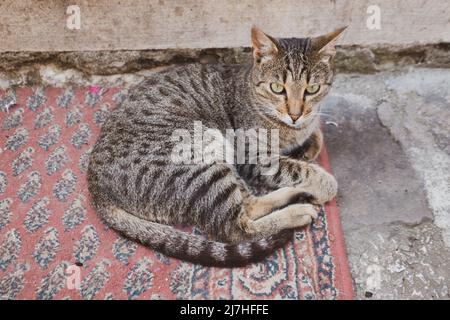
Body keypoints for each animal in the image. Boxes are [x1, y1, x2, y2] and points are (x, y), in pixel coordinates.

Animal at [87, 26, 344, 268]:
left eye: (312, 89)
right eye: (277, 88)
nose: (295, 114)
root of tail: (95, 186)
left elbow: (316, 134)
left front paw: (308, 146)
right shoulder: (253, 158)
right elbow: (305, 171)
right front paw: (323, 181)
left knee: (247, 204)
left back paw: (298, 193)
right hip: (203, 155)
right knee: (238, 227)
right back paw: (298, 209)